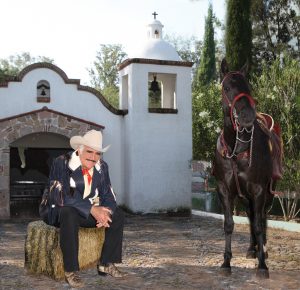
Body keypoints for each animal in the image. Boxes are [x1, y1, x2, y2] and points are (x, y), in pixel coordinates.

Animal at [214, 57, 282, 278]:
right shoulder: (224, 190)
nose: (246, 116)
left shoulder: (259, 190)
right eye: (227, 87)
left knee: (261, 217)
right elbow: (229, 224)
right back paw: (253, 249)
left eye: (249, 86)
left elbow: (260, 225)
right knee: (252, 216)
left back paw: (263, 251)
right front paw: (226, 262)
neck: (237, 150)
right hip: (245, 197)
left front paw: (262, 266)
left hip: (267, 192)